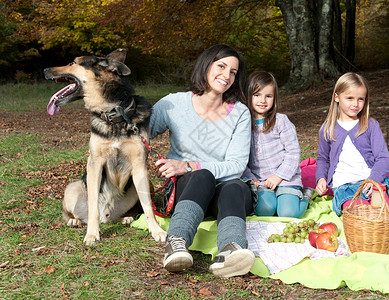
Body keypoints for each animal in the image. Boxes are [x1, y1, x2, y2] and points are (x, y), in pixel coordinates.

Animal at [43, 49, 166, 245]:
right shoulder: (95, 164)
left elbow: (147, 206)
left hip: (147, 183)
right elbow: (93, 206)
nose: (44, 70)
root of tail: (107, 216)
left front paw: (156, 230)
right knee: (75, 213)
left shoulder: (140, 165)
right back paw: (75, 220)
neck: (114, 115)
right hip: (72, 188)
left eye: (72, 63)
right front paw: (92, 234)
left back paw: (126, 217)